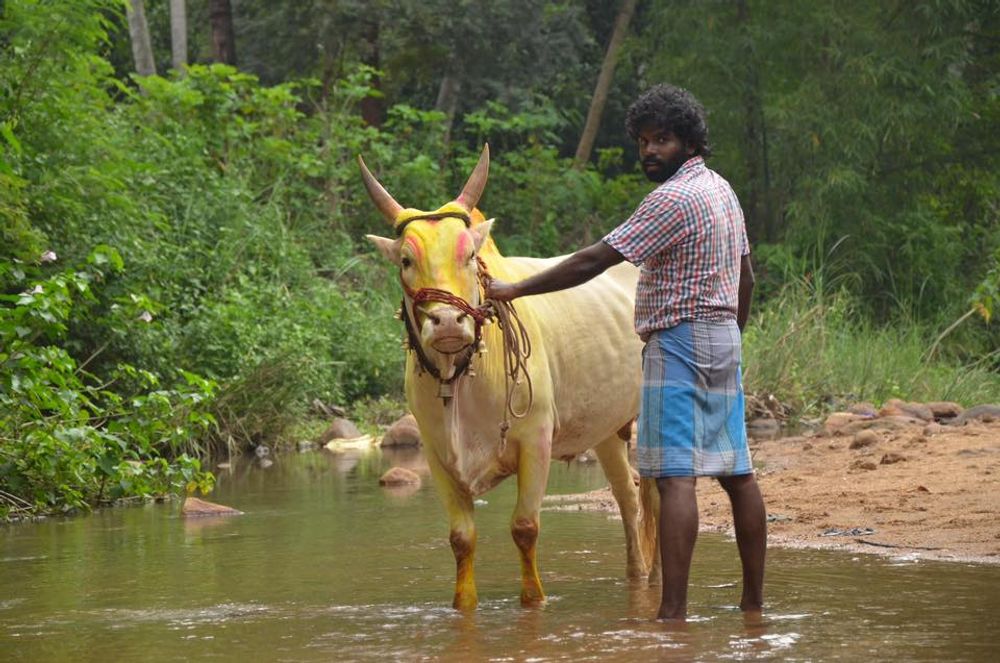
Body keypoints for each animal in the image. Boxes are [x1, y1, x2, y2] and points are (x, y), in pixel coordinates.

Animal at [361, 145, 654, 610]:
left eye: (468, 257)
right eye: (406, 260)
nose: (448, 322)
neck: (461, 378)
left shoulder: (536, 441)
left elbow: (524, 527)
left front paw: (534, 601)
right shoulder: (437, 455)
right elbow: (461, 538)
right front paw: (464, 605)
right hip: (607, 430)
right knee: (626, 494)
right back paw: (635, 574)